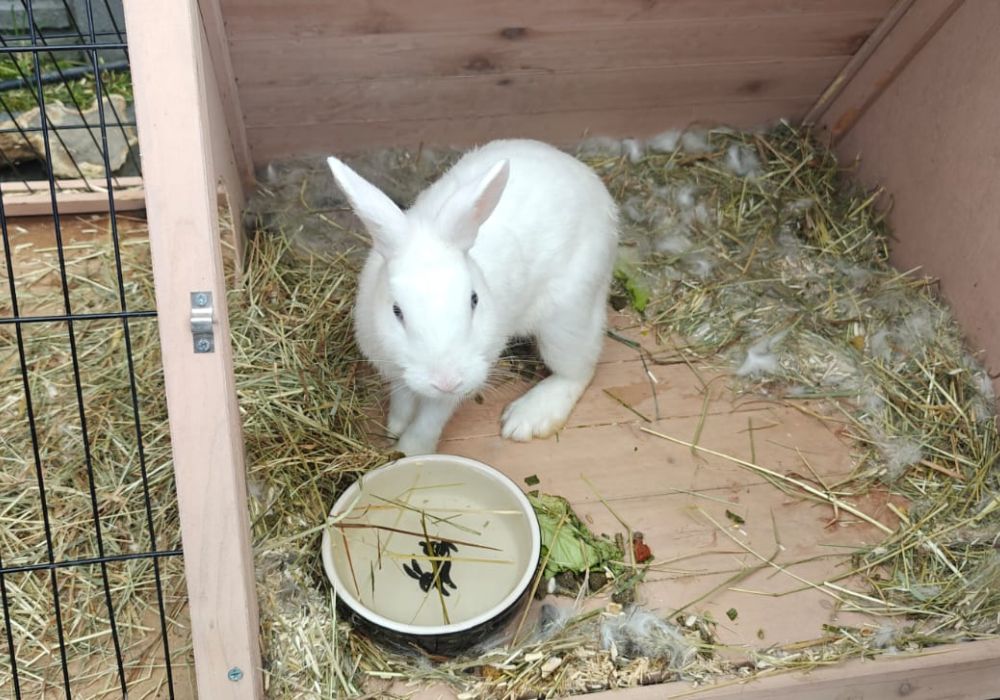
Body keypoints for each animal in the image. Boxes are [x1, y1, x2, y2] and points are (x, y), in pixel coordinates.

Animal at [327, 139, 618, 456]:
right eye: (396, 311)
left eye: (474, 300)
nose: (447, 381)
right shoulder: (396, 372)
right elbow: (402, 400)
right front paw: (394, 429)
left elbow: (430, 419)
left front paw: (410, 451)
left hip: (567, 317)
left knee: (579, 370)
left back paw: (527, 418)